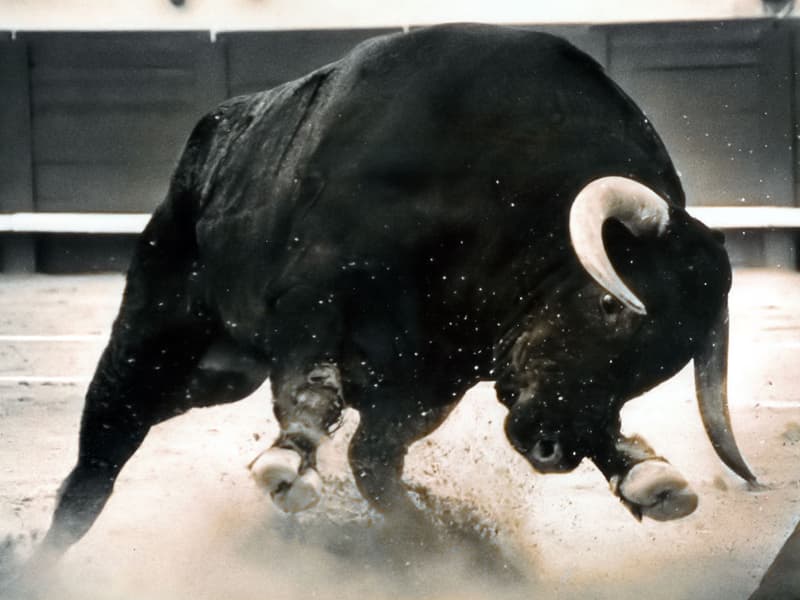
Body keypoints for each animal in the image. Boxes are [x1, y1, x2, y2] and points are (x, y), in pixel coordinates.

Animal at [24, 23, 757, 574]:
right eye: (609, 307)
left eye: (661, 366)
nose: (554, 449)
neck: (496, 198)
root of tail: (212, 138)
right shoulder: (315, 296)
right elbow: (314, 393)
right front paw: (290, 463)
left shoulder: (431, 381)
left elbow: (373, 461)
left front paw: (643, 475)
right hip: (155, 342)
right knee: (99, 457)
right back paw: (40, 564)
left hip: (221, 375)